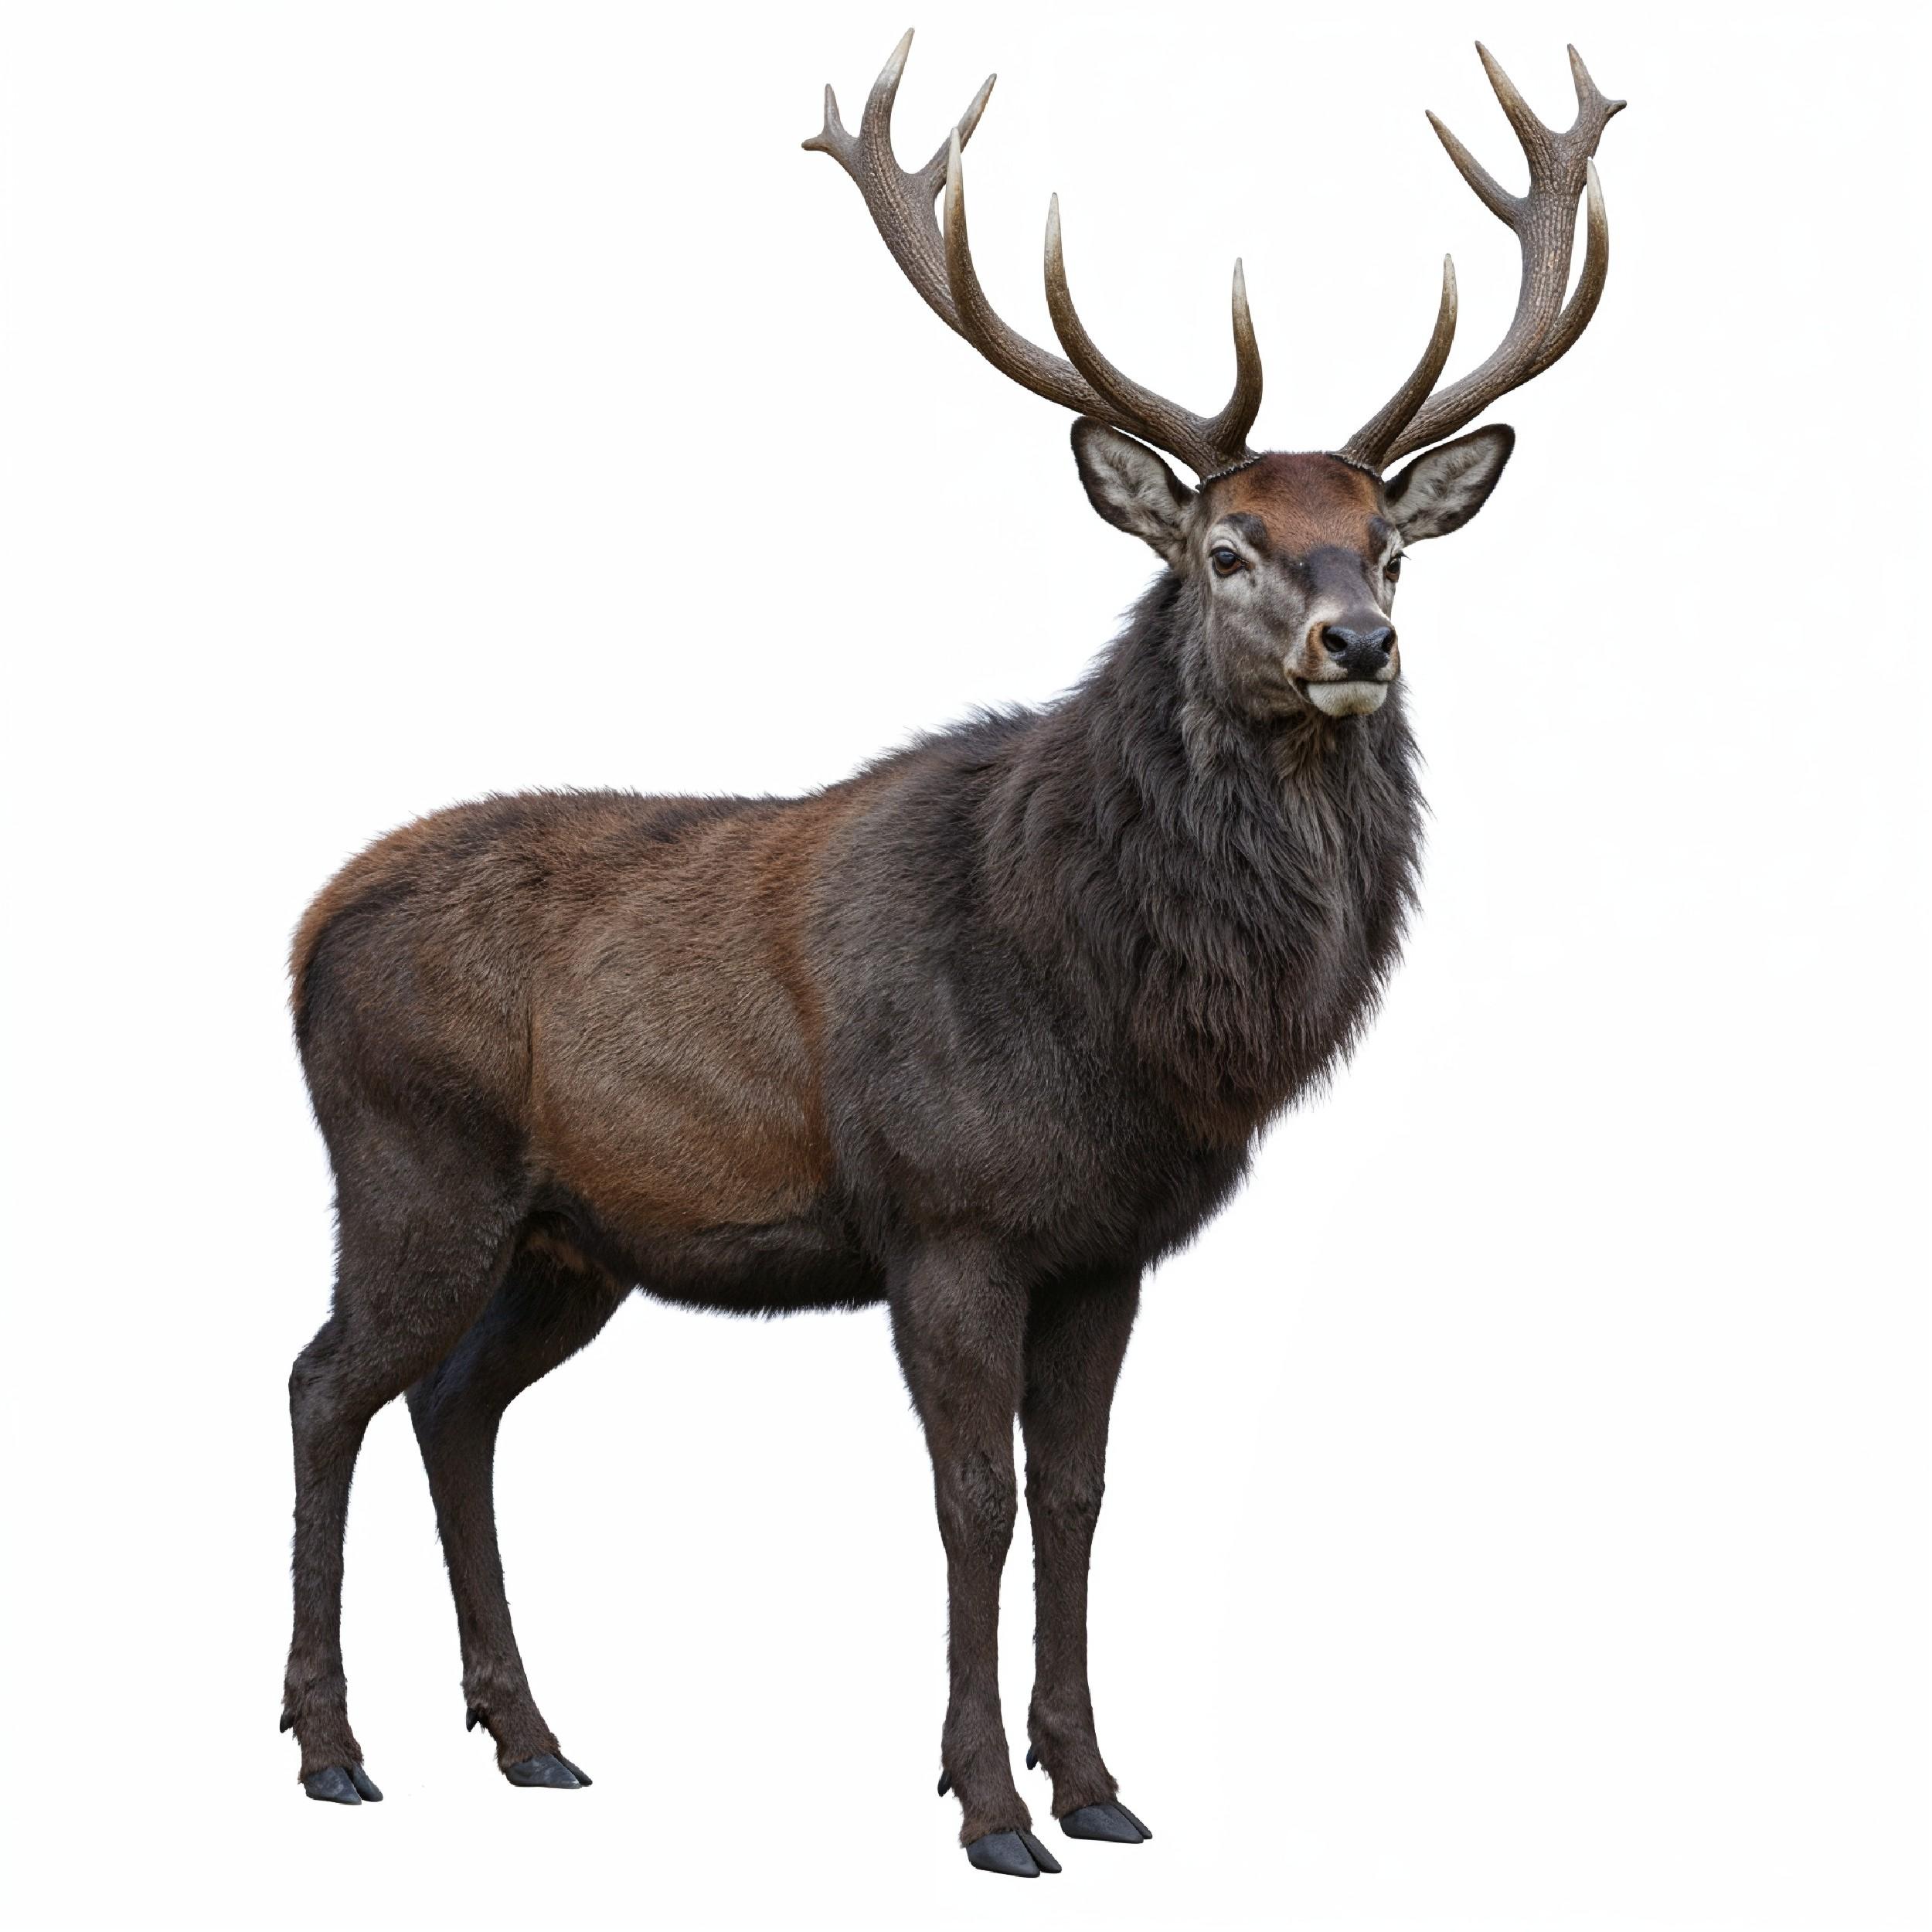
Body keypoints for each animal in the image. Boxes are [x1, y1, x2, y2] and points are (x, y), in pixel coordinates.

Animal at [280, 30, 1623, 1877]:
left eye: (1392, 542)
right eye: (1224, 550)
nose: (1358, 640)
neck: (1137, 1017)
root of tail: (301, 931)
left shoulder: (1107, 1243)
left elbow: (1076, 1493)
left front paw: (1100, 1780)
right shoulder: (947, 1214)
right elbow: (971, 1500)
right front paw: (989, 1807)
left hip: (570, 1238)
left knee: (454, 1404)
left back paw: (531, 1737)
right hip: (413, 1165)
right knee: (324, 1385)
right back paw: (333, 1747)